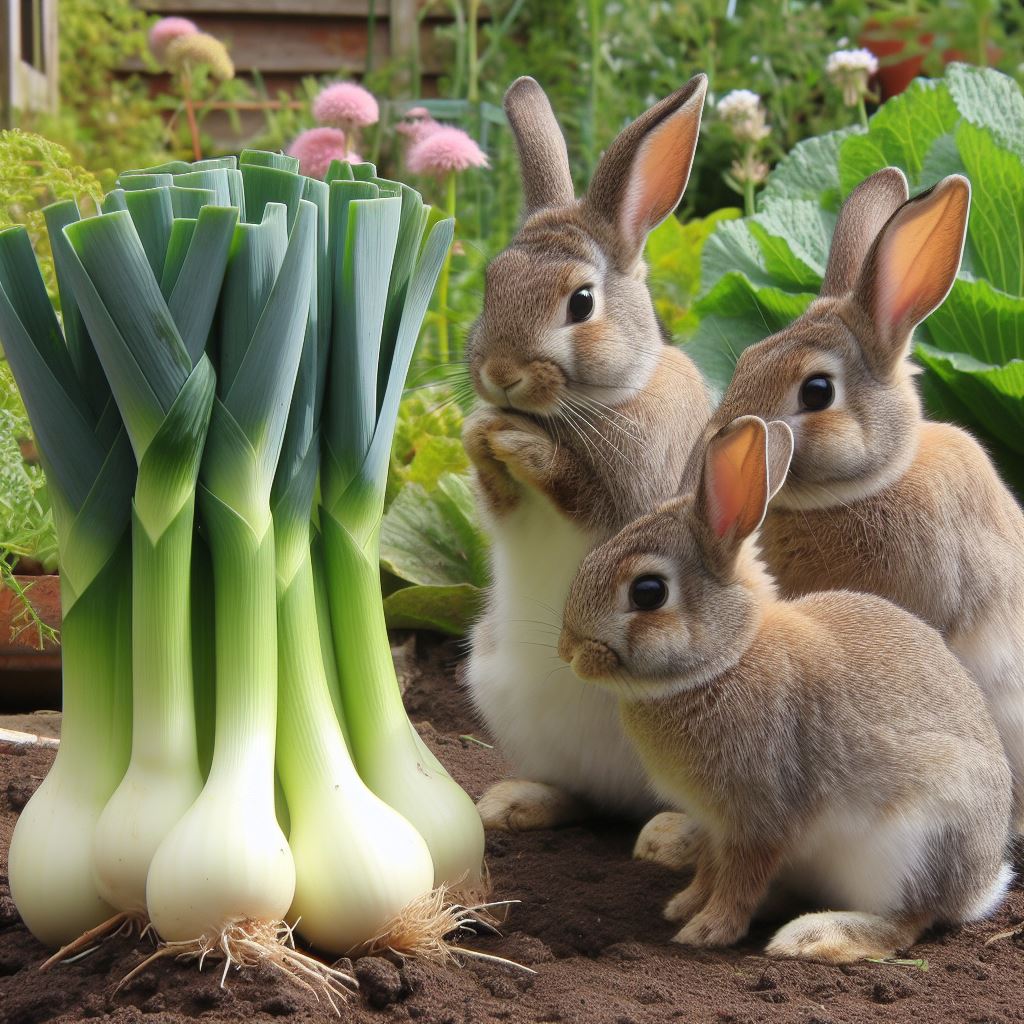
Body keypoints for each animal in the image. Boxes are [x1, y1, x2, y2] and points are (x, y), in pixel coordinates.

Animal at [464, 74, 712, 831]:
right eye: (491, 285)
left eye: (581, 302)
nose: (500, 374)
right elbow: (500, 502)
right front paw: (480, 435)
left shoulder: (639, 498)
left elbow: (586, 495)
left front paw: (519, 444)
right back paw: (515, 804)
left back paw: (668, 833)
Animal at [565, 413, 1011, 958]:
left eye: (648, 592)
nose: (568, 651)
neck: (728, 659)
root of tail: (979, 888)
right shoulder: (713, 823)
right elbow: (711, 868)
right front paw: (684, 906)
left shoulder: (759, 817)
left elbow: (739, 878)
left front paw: (706, 932)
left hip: (916, 845)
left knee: (906, 923)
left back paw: (810, 936)